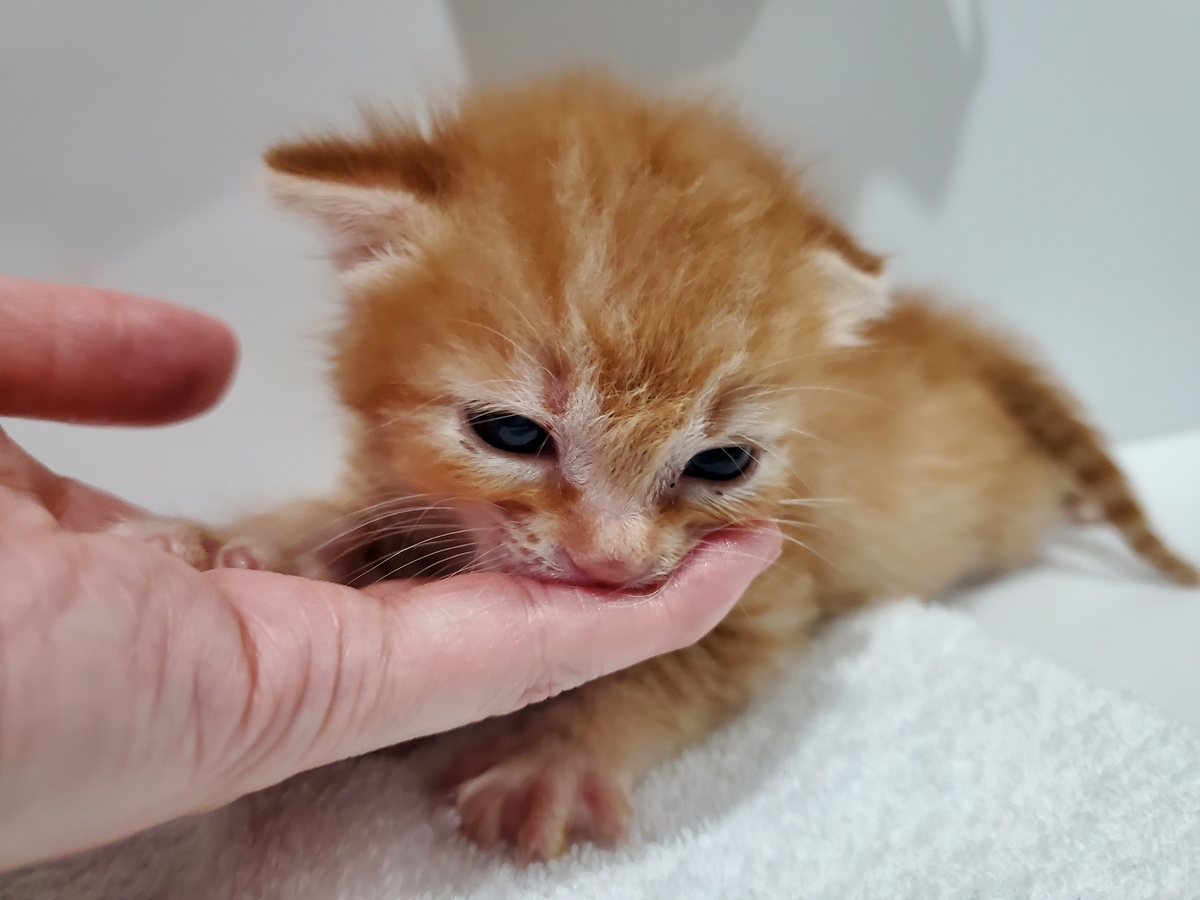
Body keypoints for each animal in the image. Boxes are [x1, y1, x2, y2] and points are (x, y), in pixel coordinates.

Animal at [115, 73, 1198, 862]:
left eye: (721, 461)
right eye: (512, 434)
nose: (613, 562)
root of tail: (955, 336)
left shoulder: (769, 595)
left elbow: (667, 678)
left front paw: (557, 755)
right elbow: (354, 507)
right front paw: (241, 539)